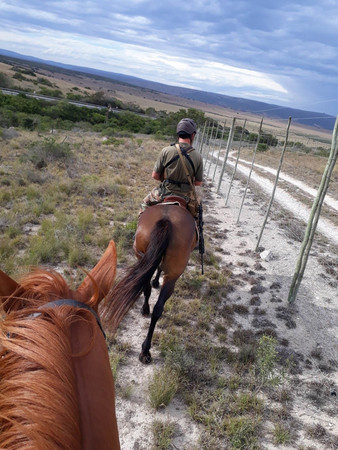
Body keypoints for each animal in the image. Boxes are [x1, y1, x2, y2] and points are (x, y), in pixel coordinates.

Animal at [104, 202, 197, 364]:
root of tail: (166, 220)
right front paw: (156, 281)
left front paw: (154, 282)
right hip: (172, 275)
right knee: (158, 306)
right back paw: (146, 347)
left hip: (141, 256)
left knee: (149, 293)